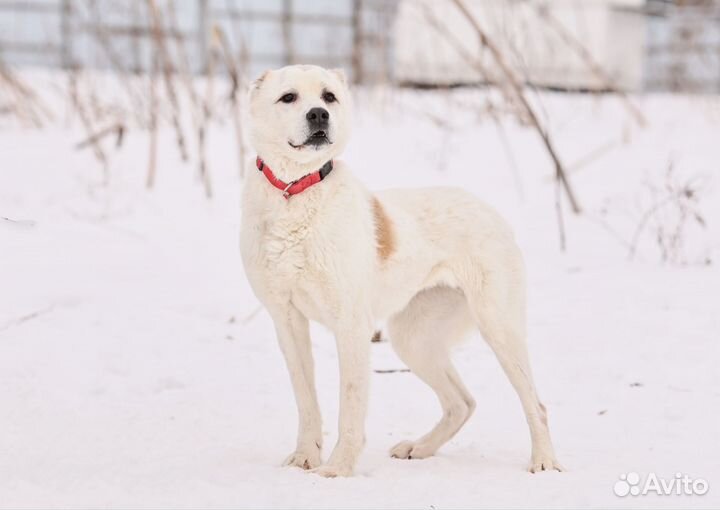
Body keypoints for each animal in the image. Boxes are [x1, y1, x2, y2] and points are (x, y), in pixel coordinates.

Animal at [242, 64, 564, 478]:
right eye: (288, 98)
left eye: (329, 96)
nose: (319, 115)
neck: (296, 192)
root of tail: (491, 211)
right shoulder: (287, 321)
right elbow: (307, 401)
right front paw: (304, 458)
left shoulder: (351, 325)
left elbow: (350, 406)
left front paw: (338, 469)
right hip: (414, 339)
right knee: (462, 402)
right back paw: (421, 448)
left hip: (499, 327)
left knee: (535, 404)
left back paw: (544, 460)